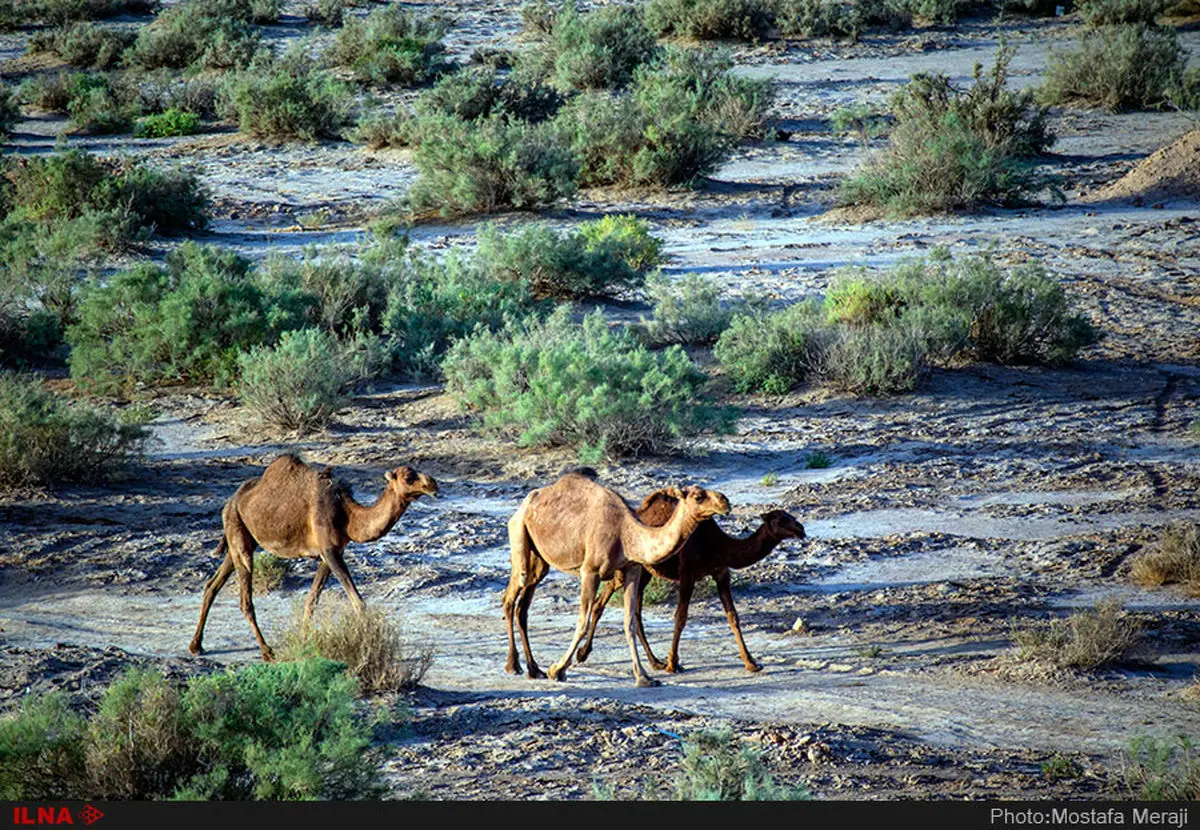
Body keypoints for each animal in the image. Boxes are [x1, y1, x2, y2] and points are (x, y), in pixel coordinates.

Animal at [184, 453, 434, 662]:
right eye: (409, 477)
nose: (433, 484)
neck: (347, 514)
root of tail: (231, 501)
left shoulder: (331, 552)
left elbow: (312, 599)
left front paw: (304, 641)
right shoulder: (329, 549)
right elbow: (357, 600)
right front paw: (370, 642)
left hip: (241, 536)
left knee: (212, 584)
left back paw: (196, 646)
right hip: (238, 532)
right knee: (245, 599)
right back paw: (266, 651)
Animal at [499, 470, 724, 690]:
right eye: (698, 496)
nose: (724, 501)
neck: (626, 533)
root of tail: (524, 504)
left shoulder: (632, 569)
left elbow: (629, 623)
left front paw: (643, 677)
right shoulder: (590, 571)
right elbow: (582, 622)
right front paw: (557, 670)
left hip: (540, 560)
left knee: (523, 605)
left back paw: (534, 669)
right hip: (519, 534)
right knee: (511, 596)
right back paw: (513, 665)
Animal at [573, 486, 806, 676]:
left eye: (790, 515)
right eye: (780, 520)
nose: (801, 529)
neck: (718, 545)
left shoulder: (721, 572)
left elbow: (733, 616)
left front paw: (751, 663)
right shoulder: (687, 572)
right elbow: (681, 617)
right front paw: (672, 664)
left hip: (644, 572)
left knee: (632, 611)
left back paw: (653, 661)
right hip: (627, 567)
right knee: (603, 601)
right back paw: (583, 654)